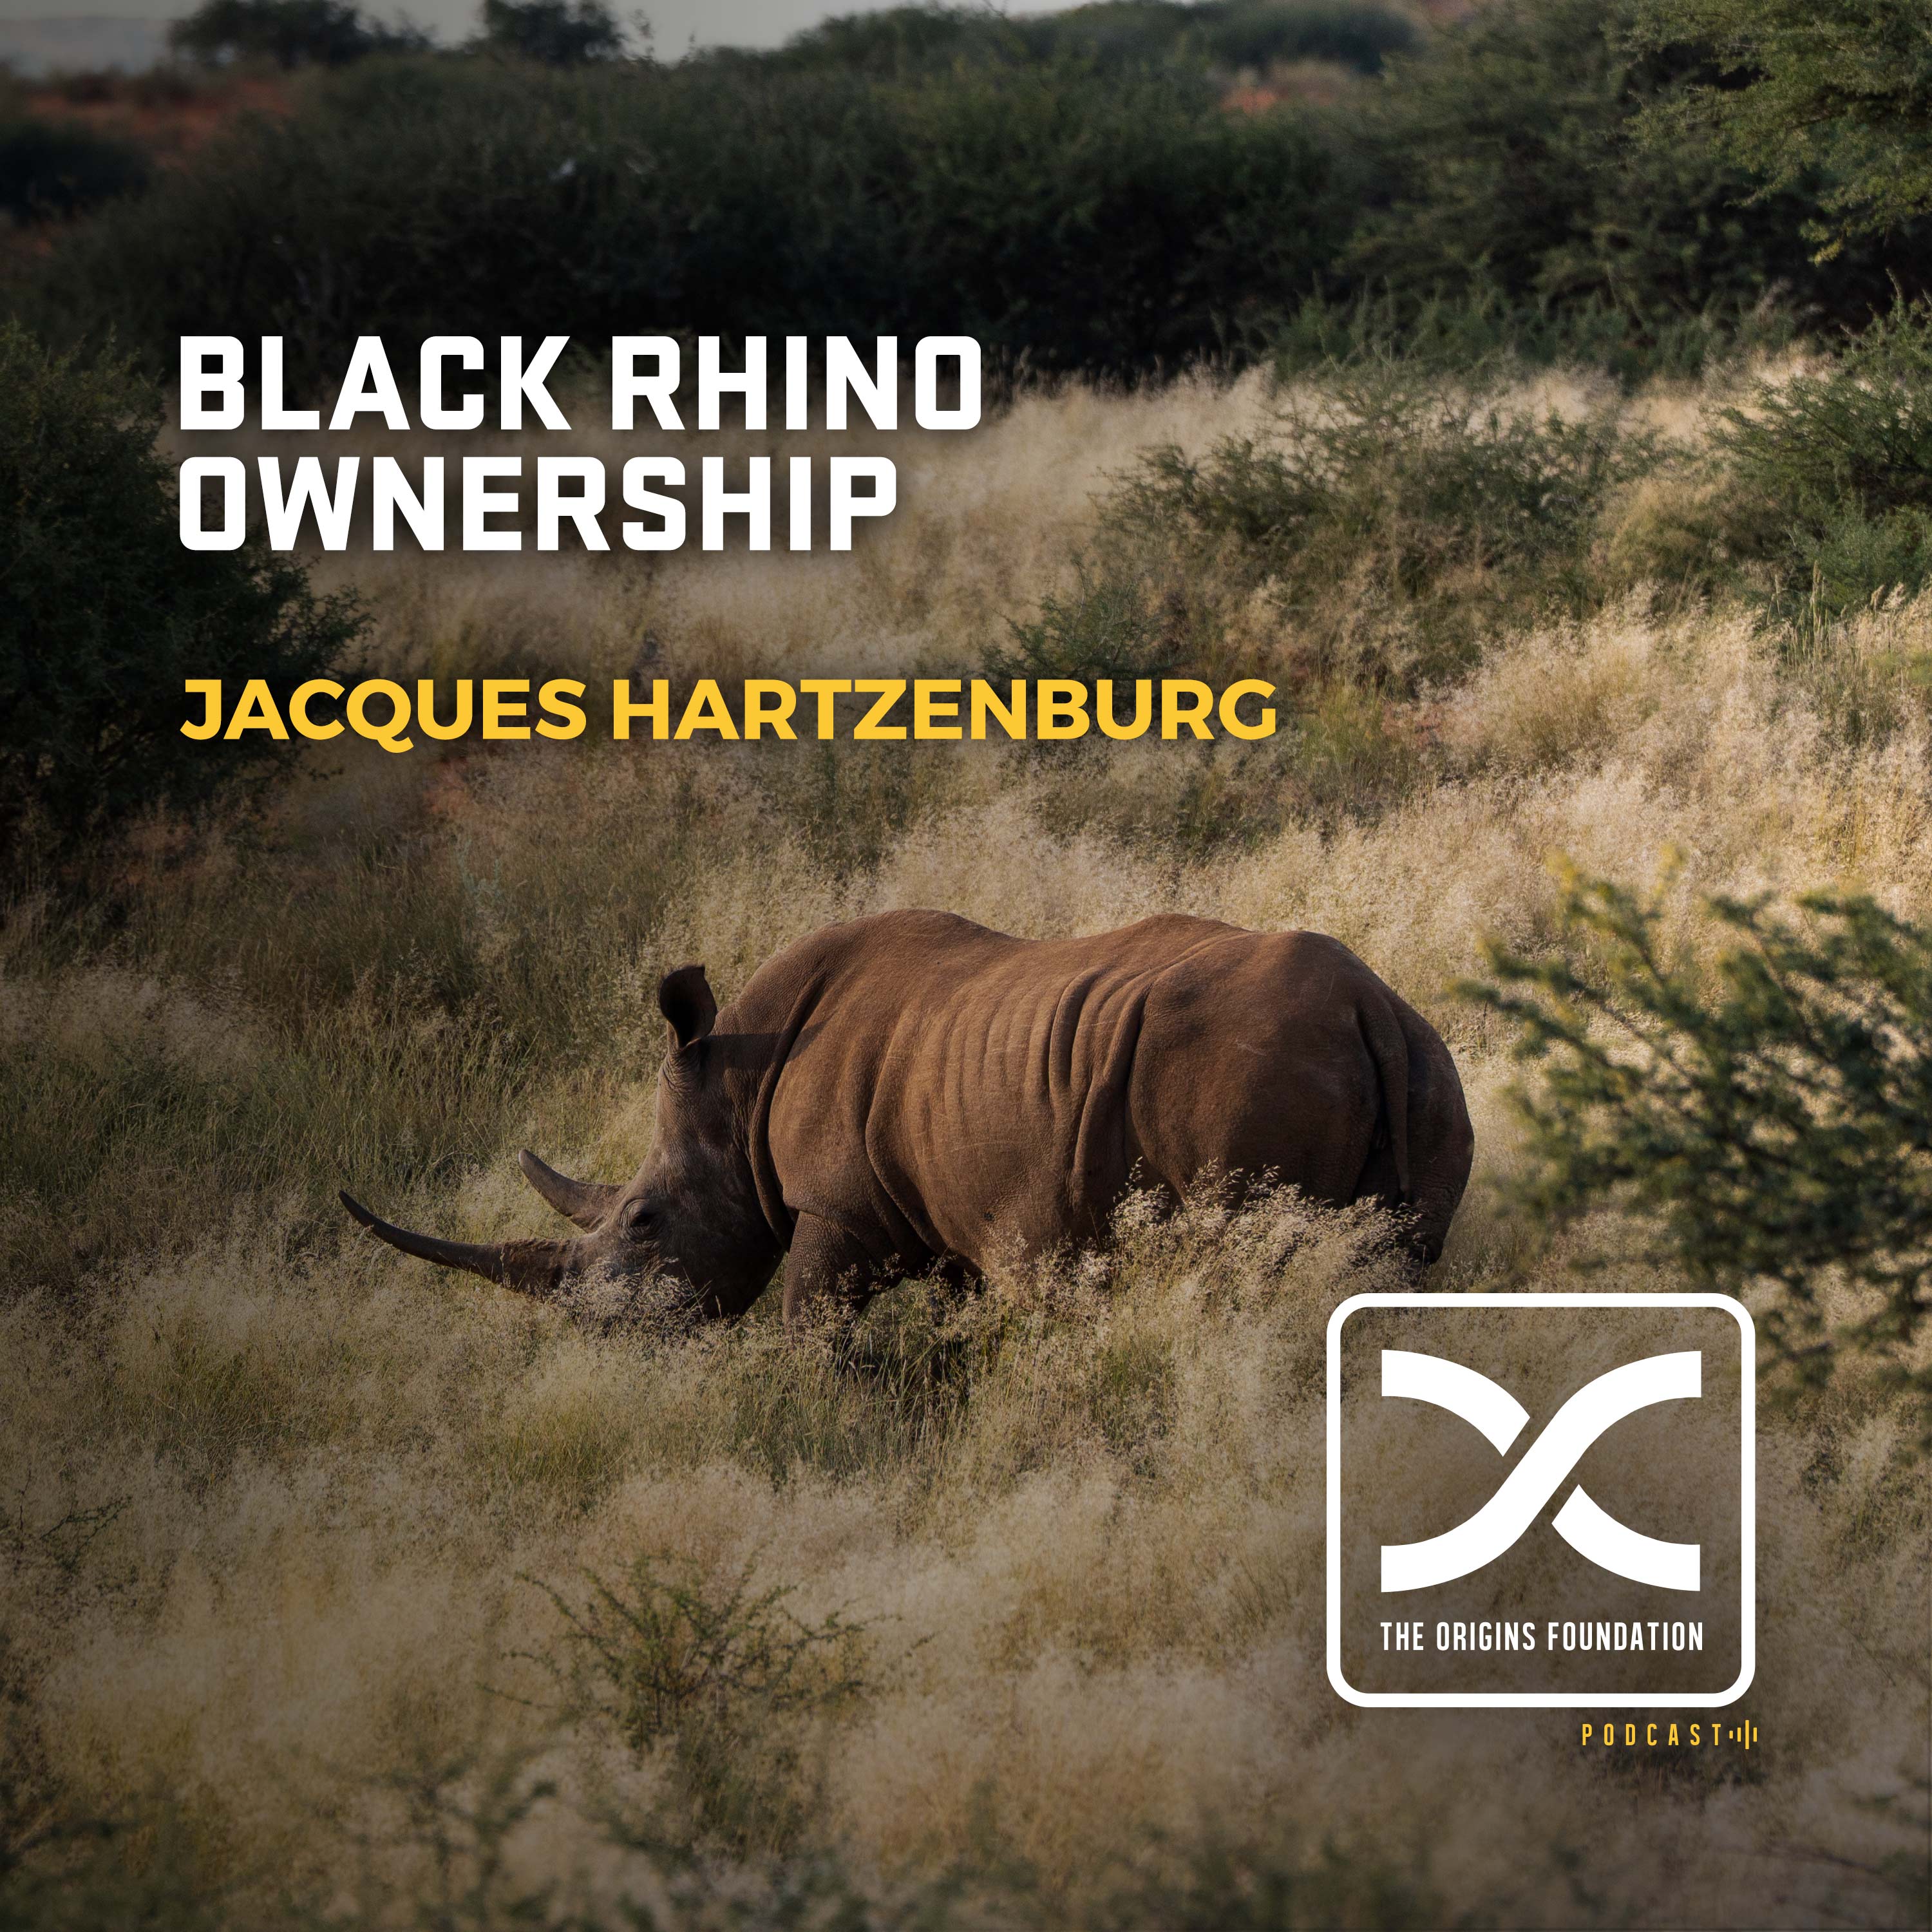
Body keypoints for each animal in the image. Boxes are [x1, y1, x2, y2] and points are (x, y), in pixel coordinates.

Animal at [341, 910, 1473, 1321]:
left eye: (644, 1221)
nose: (595, 1331)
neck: (736, 1092)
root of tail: (1368, 1004)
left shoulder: (833, 1205)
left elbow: (810, 1330)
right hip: (1427, 1064)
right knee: (1399, 1265)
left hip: (1244, 1068)